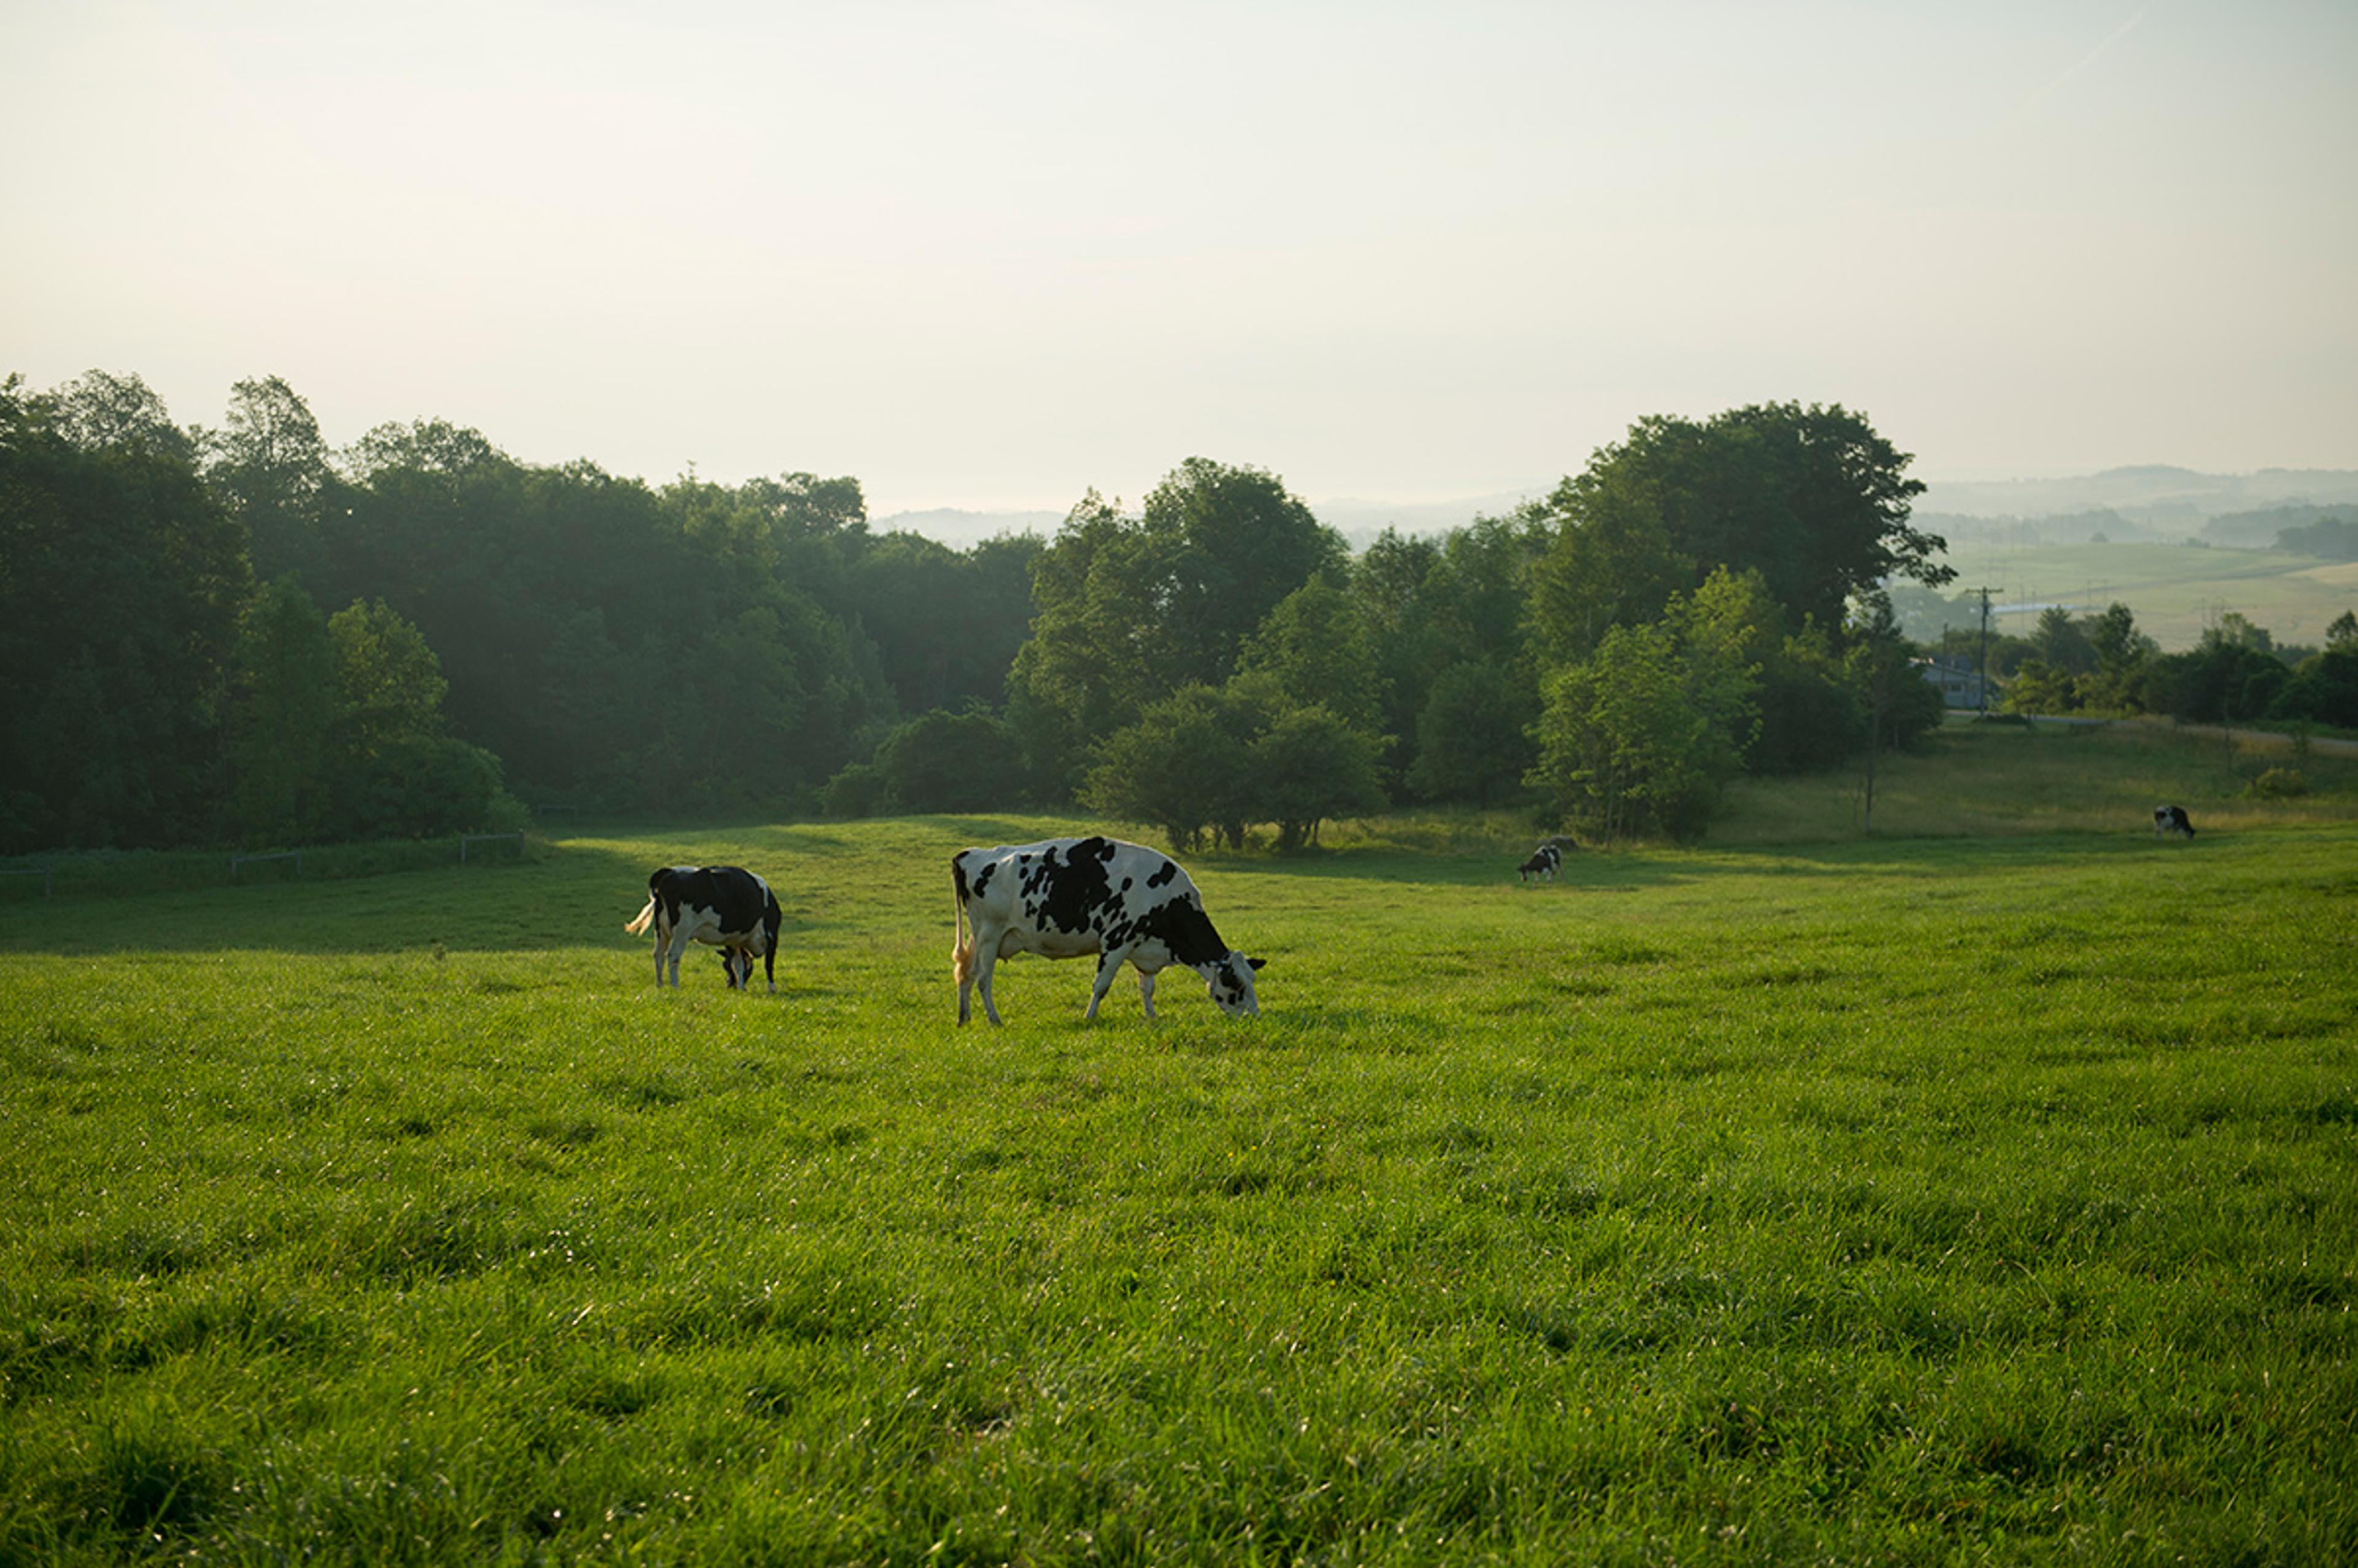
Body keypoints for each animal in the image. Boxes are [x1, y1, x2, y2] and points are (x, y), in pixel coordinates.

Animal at [623, 865, 784, 990]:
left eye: (725, 966)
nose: (729, 985)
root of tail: (669, 871)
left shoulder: (733, 940)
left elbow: (739, 964)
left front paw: (742, 987)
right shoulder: (772, 935)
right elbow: (769, 964)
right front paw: (772, 988)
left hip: (661, 930)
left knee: (658, 954)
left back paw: (660, 985)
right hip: (682, 930)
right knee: (673, 955)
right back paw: (675, 986)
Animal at [950, 835, 1264, 1024]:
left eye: (1252, 981)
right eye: (1236, 985)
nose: (1255, 1018)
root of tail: (971, 853)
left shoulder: (1144, 946)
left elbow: (1147, 988)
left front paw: (1152, 1017)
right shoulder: (1117, 940)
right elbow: (1101, 985)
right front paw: (1089, 1018)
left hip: (979, 935)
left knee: (966, 974)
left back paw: (964, 1019)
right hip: (990, 934)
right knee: (983, 979)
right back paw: (995, 1020)